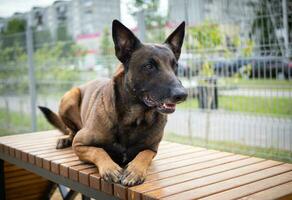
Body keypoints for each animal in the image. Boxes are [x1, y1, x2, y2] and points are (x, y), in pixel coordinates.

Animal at [38, 19, 187, 186]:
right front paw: (110, 168)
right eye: (149, 66)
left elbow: (144, 155)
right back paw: (66, 139)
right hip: (69, 98)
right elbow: (99, 150)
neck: (135, 119)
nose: (182, 94)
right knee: (71, 130)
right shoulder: (80, 144)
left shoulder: (152, 149)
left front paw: (135, 170)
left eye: (175, 66)